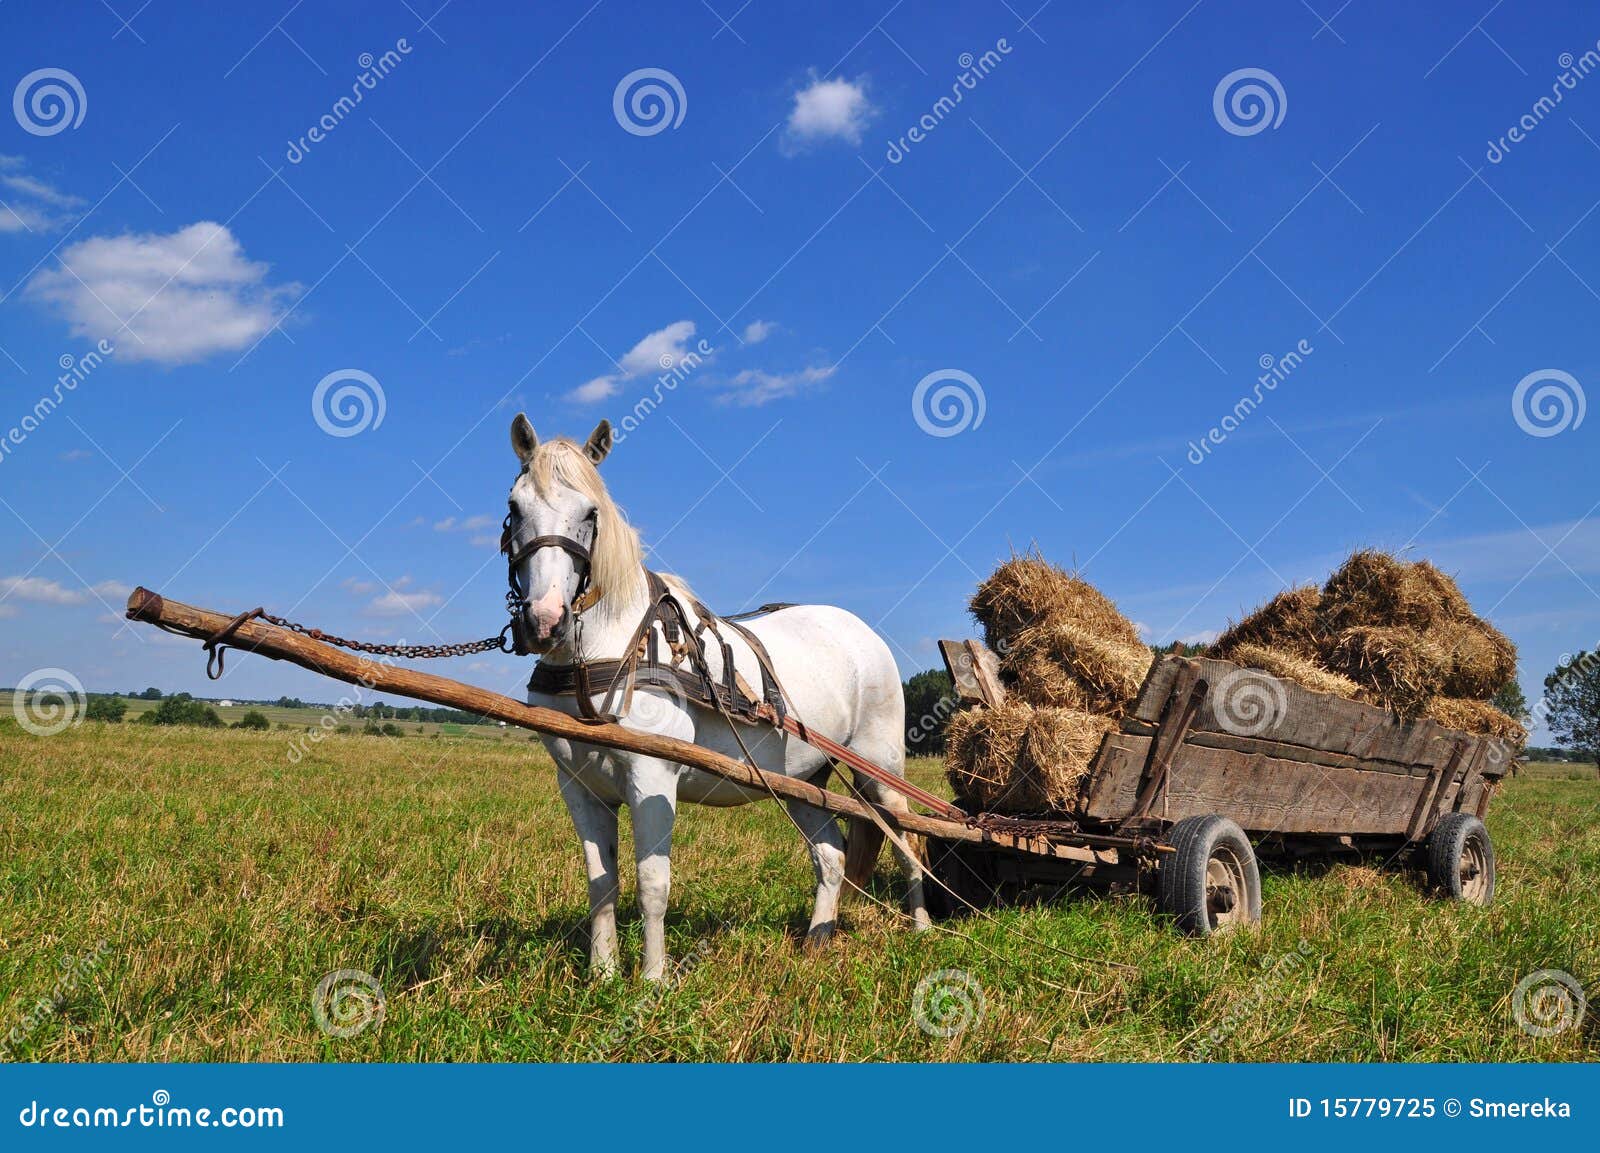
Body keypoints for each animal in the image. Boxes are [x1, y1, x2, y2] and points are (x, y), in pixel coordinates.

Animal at [504, 413, 929, 979]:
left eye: (591, 512)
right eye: (514, 506)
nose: (545, 622)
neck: (607, 649)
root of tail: (864, 631)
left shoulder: (652, 778)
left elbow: (652, 885)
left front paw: (654, 980)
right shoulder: (579, 787)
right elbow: (602, 885)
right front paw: (602, 975)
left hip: (877, 768)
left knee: (907, 839)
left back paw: (922, 926)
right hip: (804, 781)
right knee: (832, 854)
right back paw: (817, 939)